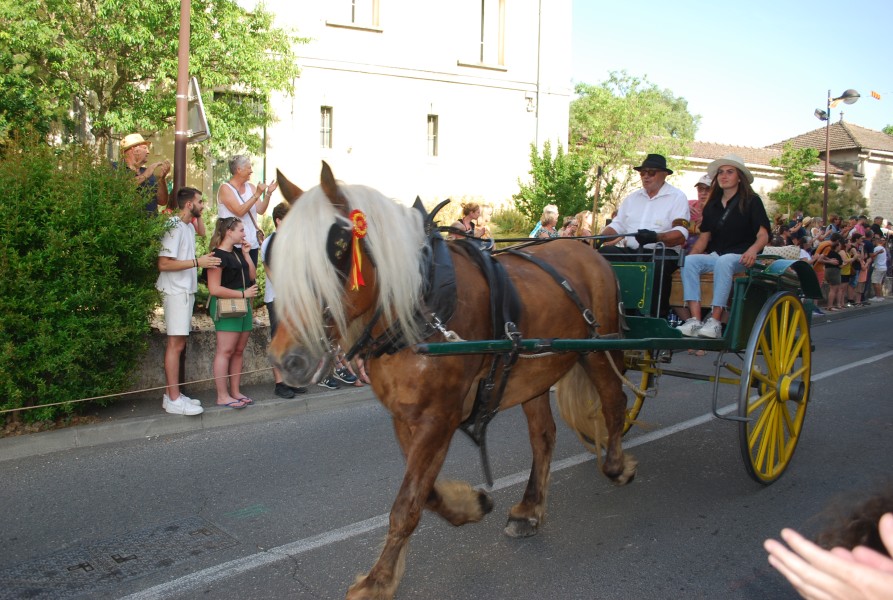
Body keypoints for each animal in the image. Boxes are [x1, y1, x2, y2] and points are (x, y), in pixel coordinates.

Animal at [268, 162, 636, 596]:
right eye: (277, 257)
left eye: (338, 252)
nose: (288, 360)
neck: (421, 307)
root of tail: (589, 250)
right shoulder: (406, 417)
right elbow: (424, 494)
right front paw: (471, 505)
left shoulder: (438, 418)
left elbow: (407, 503)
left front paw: (378, 581)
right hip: (535, 373)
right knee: (544, 437)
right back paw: (529, 510)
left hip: (598, 351)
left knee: (614, 402)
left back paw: (617, 466)